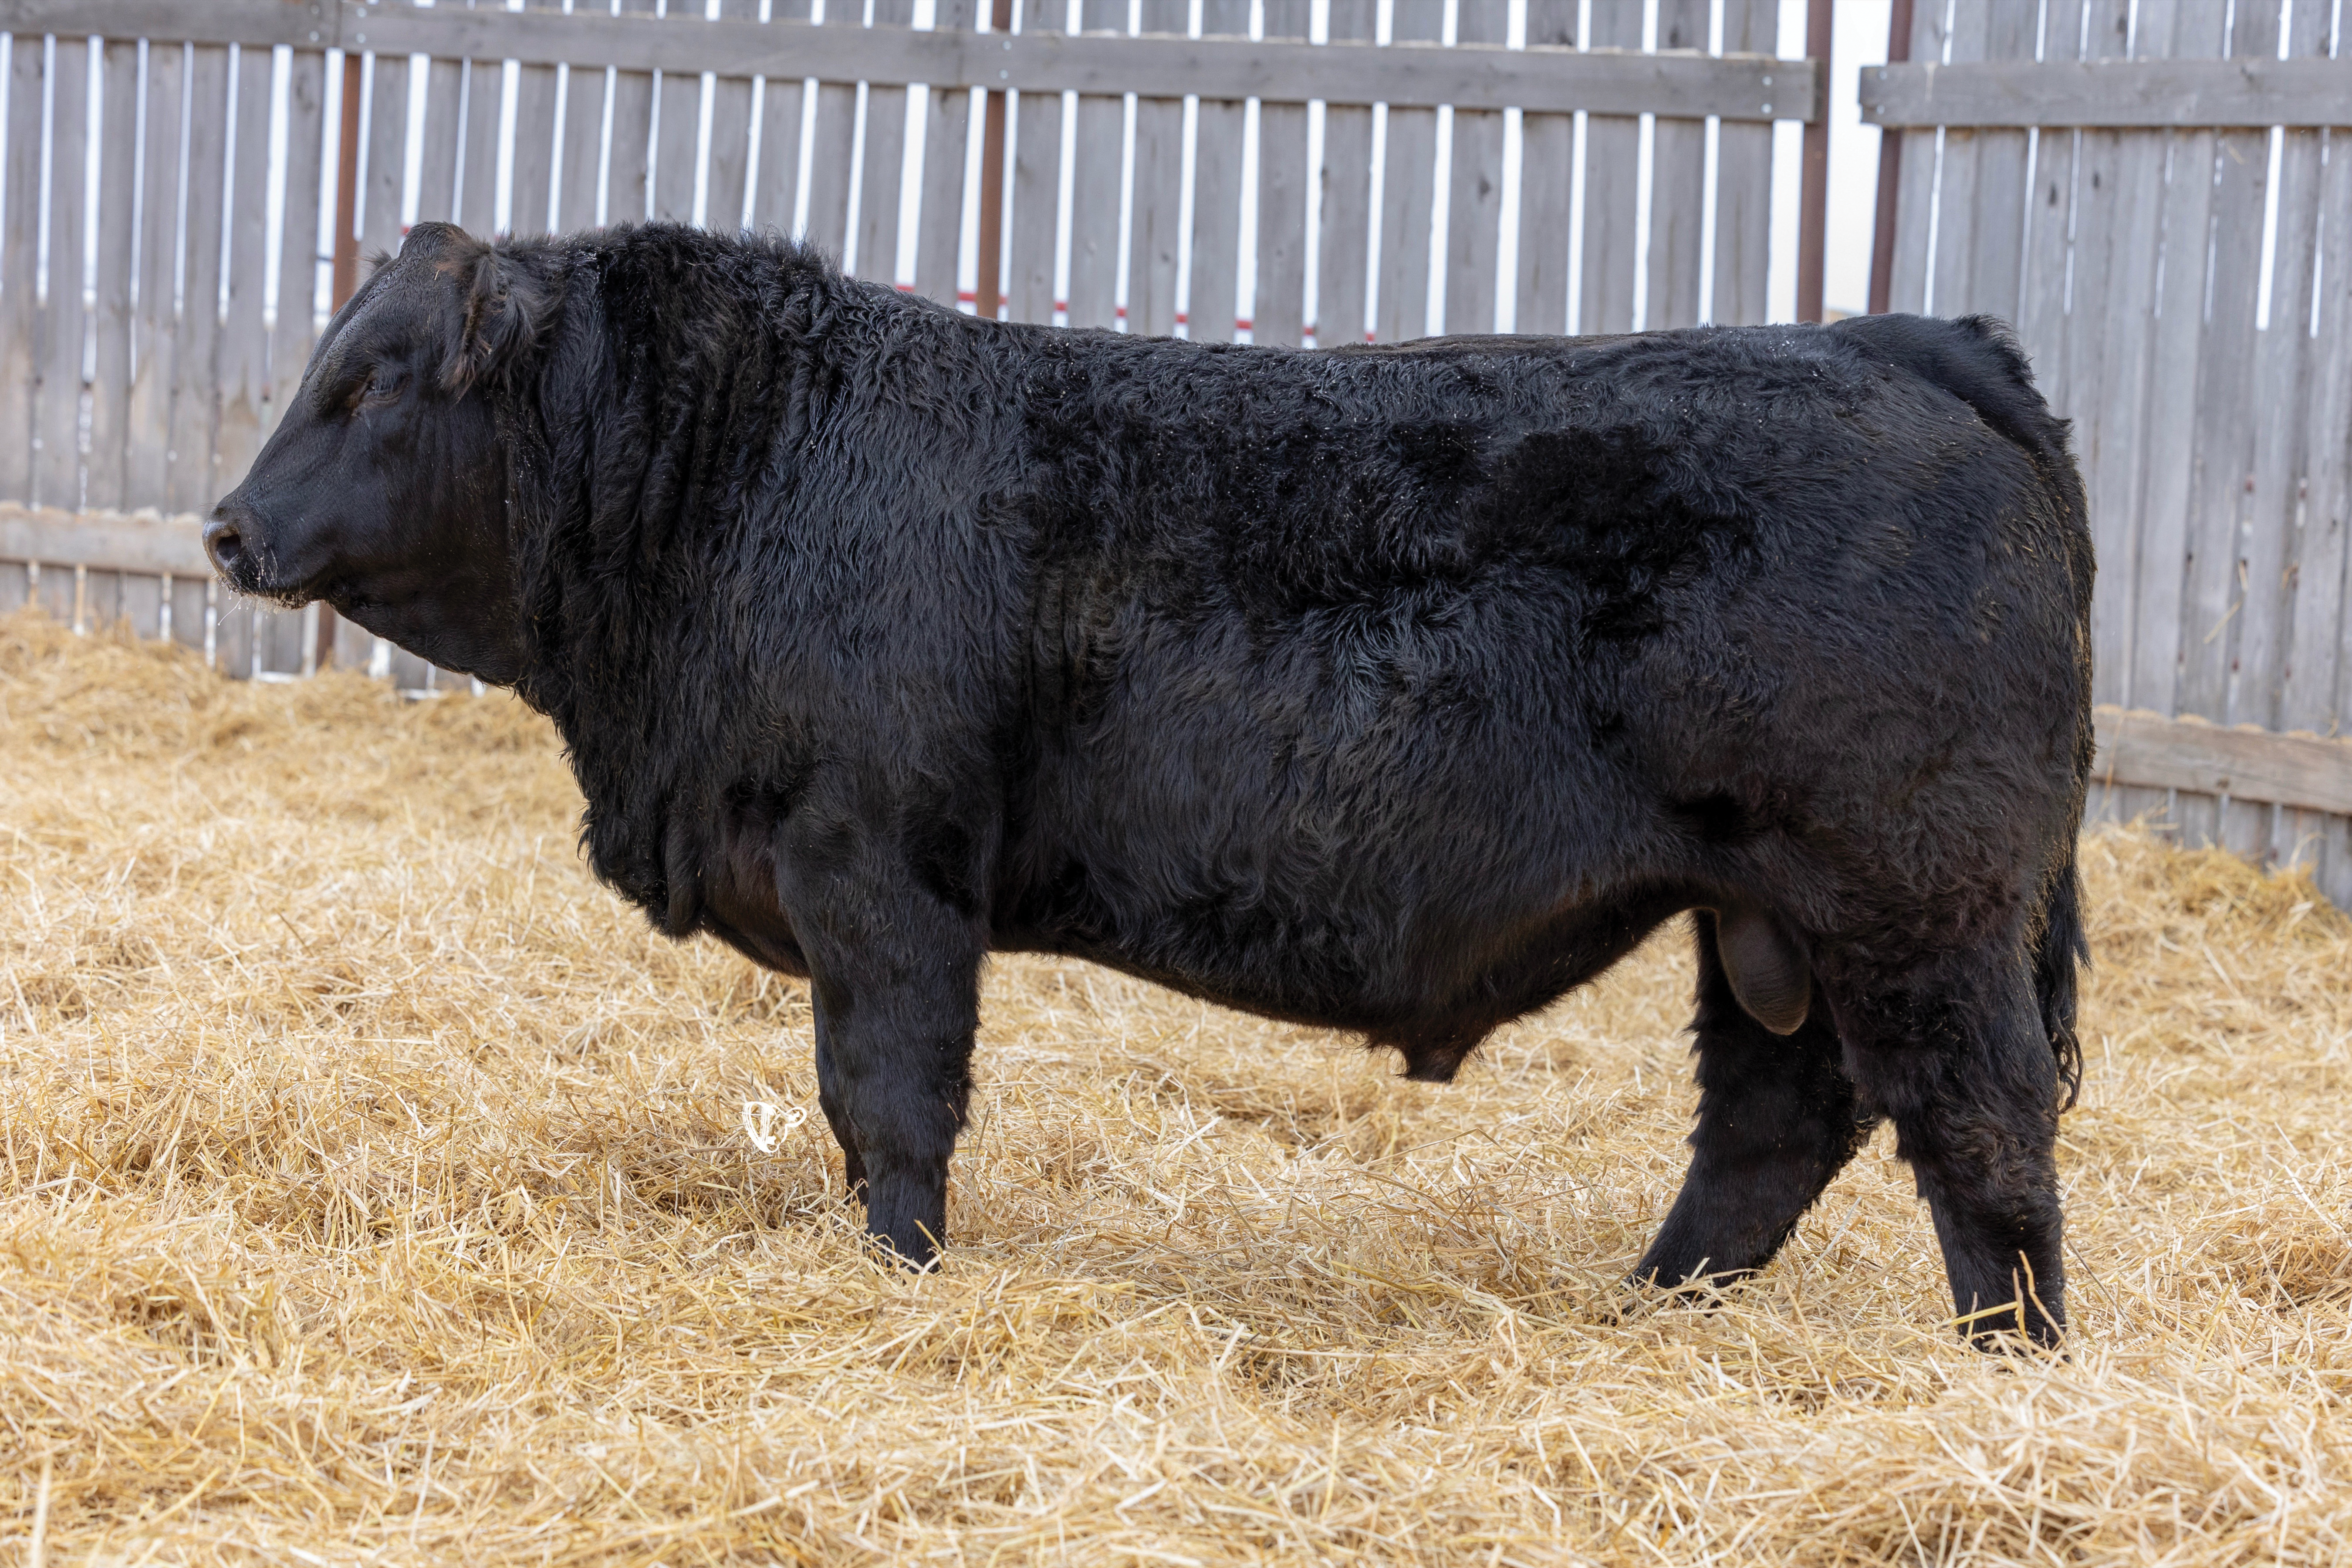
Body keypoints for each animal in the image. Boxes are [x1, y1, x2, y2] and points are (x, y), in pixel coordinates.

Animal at [207, 221, 2093, 1348]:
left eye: (369, 382)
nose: (226, 528)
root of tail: (1902, 338)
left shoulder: (879, 869)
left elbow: (889, 1100)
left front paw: (902, 1278)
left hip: (1916, 901)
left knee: (1983, 1131)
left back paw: (2010, 1366)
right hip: (1770, 918)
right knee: (1778, 1127)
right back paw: (1646, 1314)